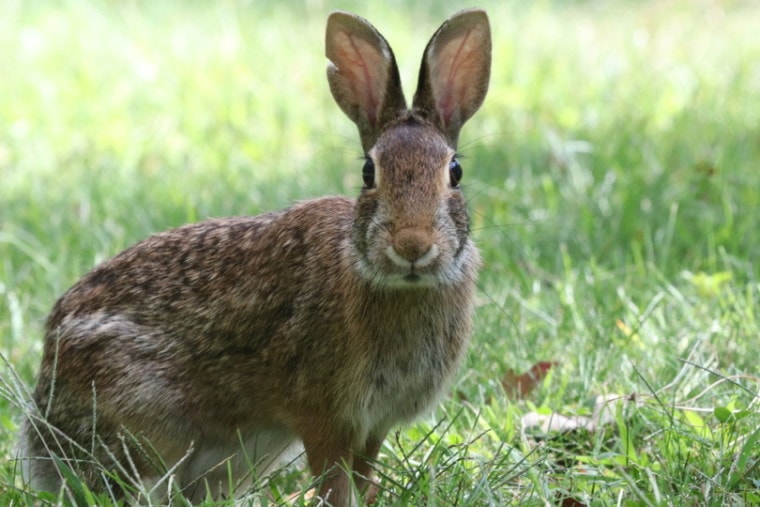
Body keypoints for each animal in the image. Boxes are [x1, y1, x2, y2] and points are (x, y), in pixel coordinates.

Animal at [19, 7, 492, 507]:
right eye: (368, 172)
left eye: (455, 171)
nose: (412, 246)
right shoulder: (323, 414)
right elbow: (333, 480)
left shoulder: (373, 426)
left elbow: (362, 477)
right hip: (145, 432)